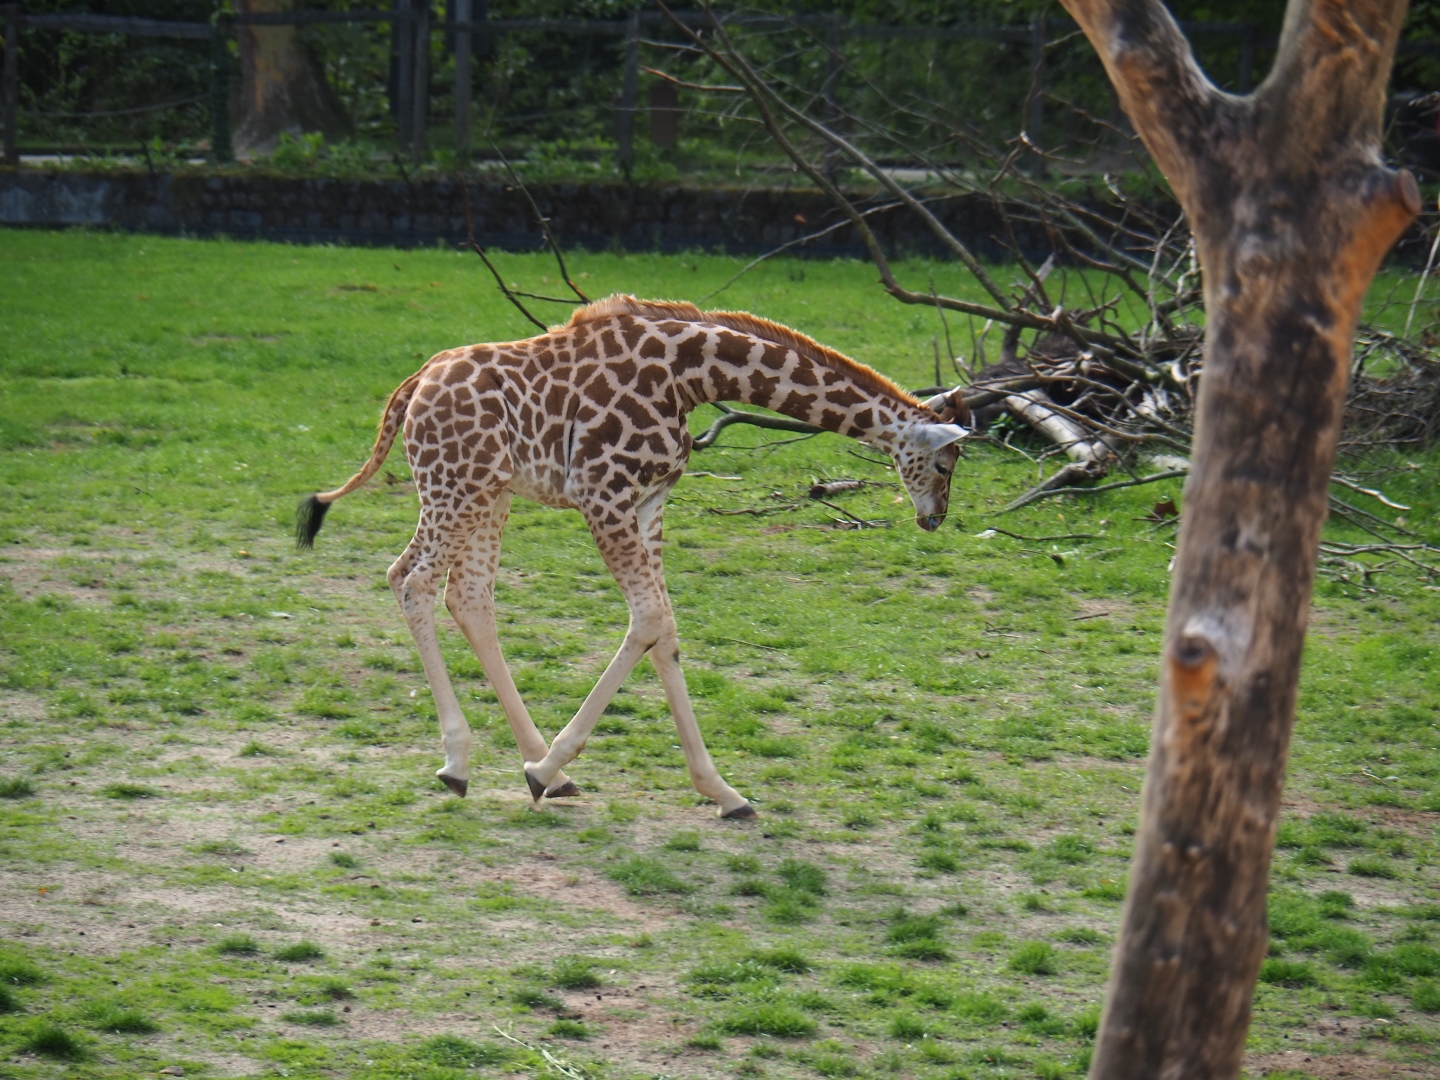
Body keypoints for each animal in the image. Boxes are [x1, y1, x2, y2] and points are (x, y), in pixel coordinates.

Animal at [297, 295, 969, 818]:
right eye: (944, 463)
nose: (933, 518)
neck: (693, 377)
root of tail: (412, 385)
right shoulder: (603, 494)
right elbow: (647, 620)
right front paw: (544, 770)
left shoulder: (649, 503)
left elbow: (664, 631)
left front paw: (722, 791)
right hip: (454, 486)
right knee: (411, 580)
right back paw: (463, 763)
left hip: (487, 492)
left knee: (464, 595)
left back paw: (537, 770)